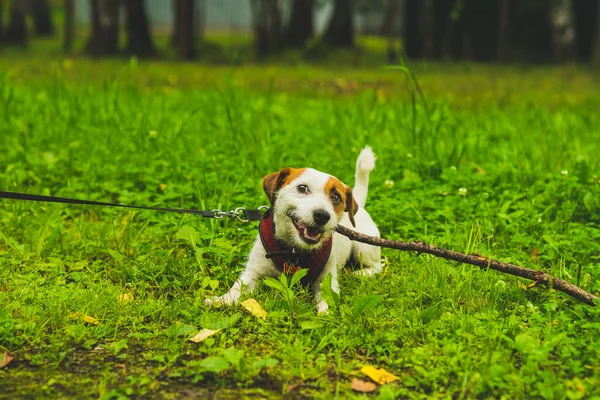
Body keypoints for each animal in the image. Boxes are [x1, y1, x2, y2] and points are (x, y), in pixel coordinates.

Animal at [204, 145, 382, 314]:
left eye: (336, 197)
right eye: (302, 188)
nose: (322, 215)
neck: (294, 250)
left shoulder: (327, 278)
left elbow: (328, 297)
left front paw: (325, 313)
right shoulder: (253, 272)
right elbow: (237, 288)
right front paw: (222, 300)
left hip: (364, 247)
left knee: (378, 266)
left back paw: (360, 273)